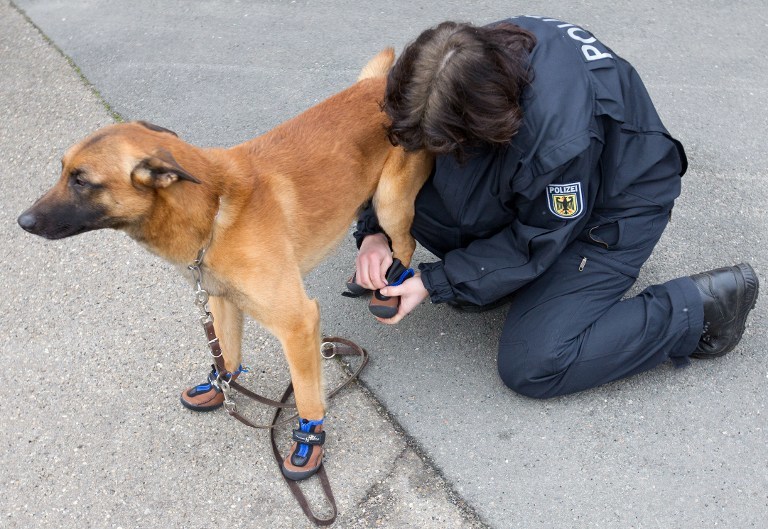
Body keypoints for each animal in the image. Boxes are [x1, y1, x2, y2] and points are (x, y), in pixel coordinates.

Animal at [18, 48, 436, 478]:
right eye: (62, 170)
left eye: (82, 181)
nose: (22, 221)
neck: (213, 211)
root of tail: (380, 84)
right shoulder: (221, 300)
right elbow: (226, 353)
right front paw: (220, 387)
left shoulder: (298, 324)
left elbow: (306, 395)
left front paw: (308, 440)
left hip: (391, 202)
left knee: (405, 241)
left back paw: (389, 286)